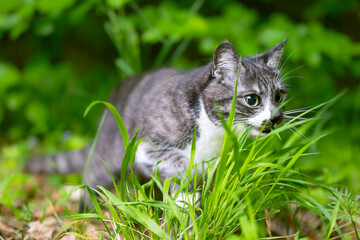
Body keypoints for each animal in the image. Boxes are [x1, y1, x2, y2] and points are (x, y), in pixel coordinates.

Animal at [26, 39, 288, 208]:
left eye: (279, 96)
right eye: (252, 99)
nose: (276, 118)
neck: (212, 131)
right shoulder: (146, 143)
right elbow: (179, 162)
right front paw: (188, 189)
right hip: (109, 155)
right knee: (93, 177)